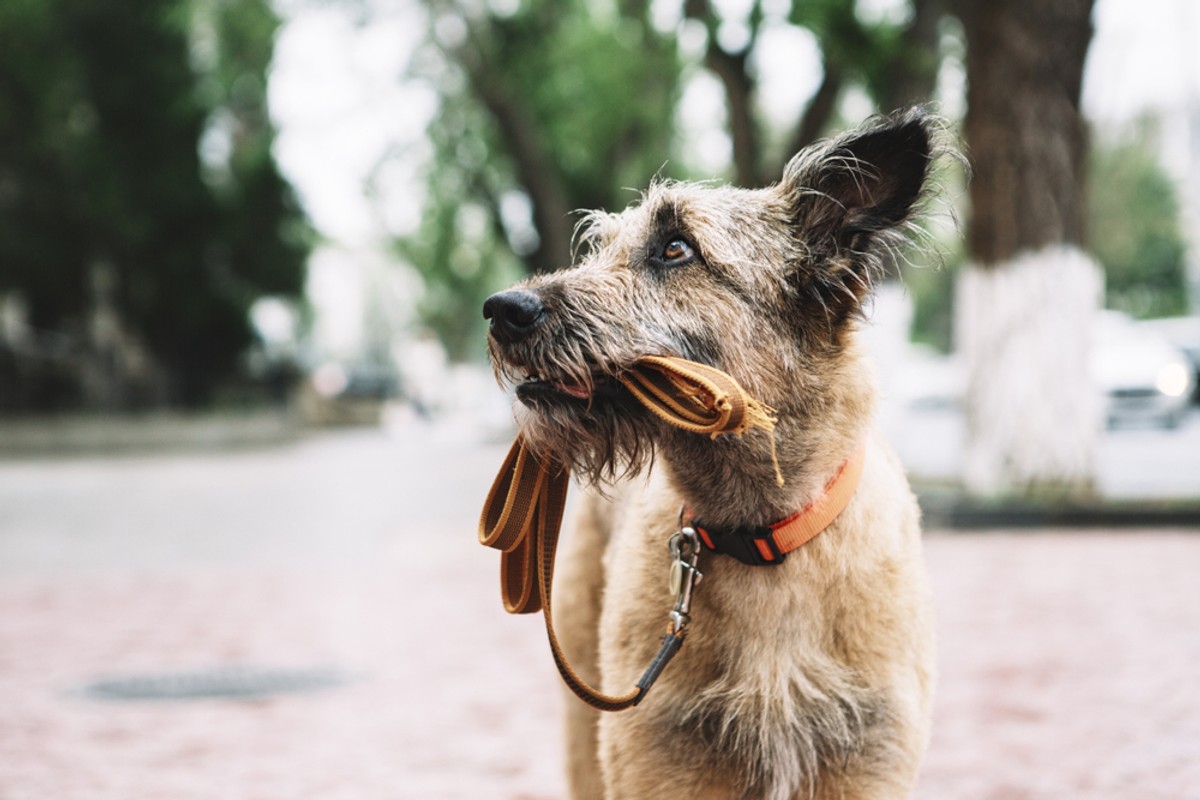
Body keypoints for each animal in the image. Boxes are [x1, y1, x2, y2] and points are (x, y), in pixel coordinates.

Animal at [482, 107, 940, 800]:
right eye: (600, 247)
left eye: (676, 248)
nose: (503, 309)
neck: (763, 535)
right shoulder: (664, 762)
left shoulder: (863, 762)